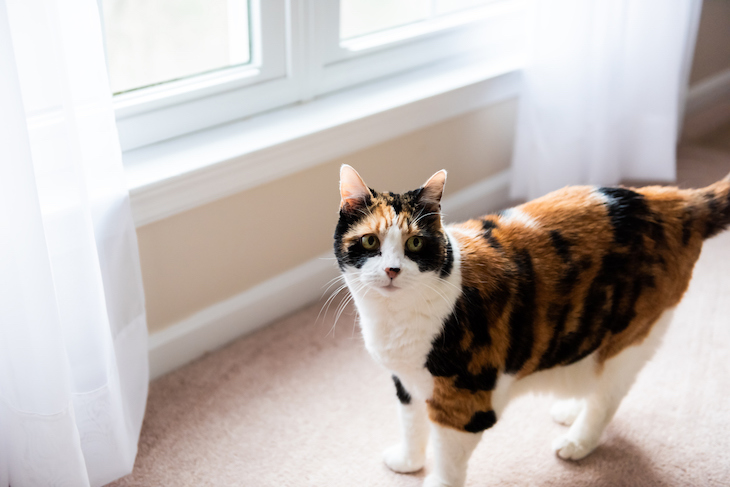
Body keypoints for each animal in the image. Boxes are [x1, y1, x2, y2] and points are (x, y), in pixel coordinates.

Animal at [332, 165, 728, 487]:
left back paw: (577, 441)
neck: (394, 318)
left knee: (608, 395)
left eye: (415, 243)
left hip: (631, 335)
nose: (392, 270)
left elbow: (446, 462)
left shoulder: (465, 401)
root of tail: (674, 200)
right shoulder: (407, 380)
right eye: (370, 241)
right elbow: (411, 424)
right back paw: (570, 410)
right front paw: (408, 462)